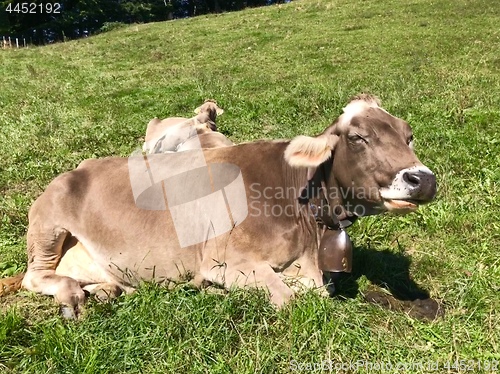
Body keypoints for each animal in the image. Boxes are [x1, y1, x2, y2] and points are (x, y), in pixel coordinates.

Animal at [0, 95, 434, 318]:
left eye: (408, 134)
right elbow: (287, 298)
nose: (423, 179)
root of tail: (77, 168)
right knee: (35, 277)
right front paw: (214, 292)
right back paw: (72, 294)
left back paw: (105, 290)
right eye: (358, 137)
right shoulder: (225, 258)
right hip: (48, 225)